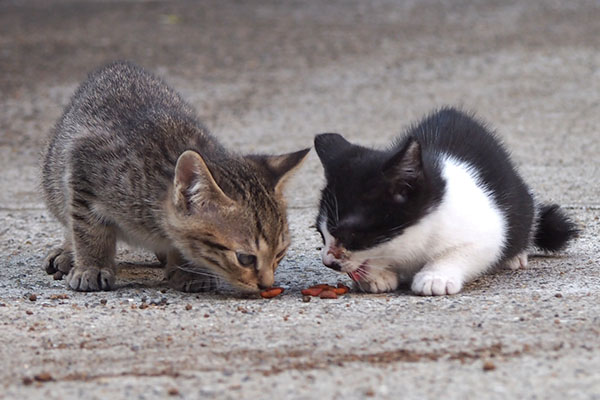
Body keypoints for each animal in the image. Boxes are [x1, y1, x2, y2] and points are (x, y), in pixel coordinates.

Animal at [41, 61, 310, 292]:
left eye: (280, 254)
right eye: (244, 258)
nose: (267, 286)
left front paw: (188, 270)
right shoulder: (83, 167)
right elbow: (89, 228)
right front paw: (92, 266)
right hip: (53, 178)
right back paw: (68, 252)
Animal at [314, 108, 576, 296]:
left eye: (352, 234)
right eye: (321, 233)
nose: (327, 262)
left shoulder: (488, 230)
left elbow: (464, 250)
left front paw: (435, 276)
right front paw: (377, 275)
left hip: (520, 202)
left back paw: (515, 255)